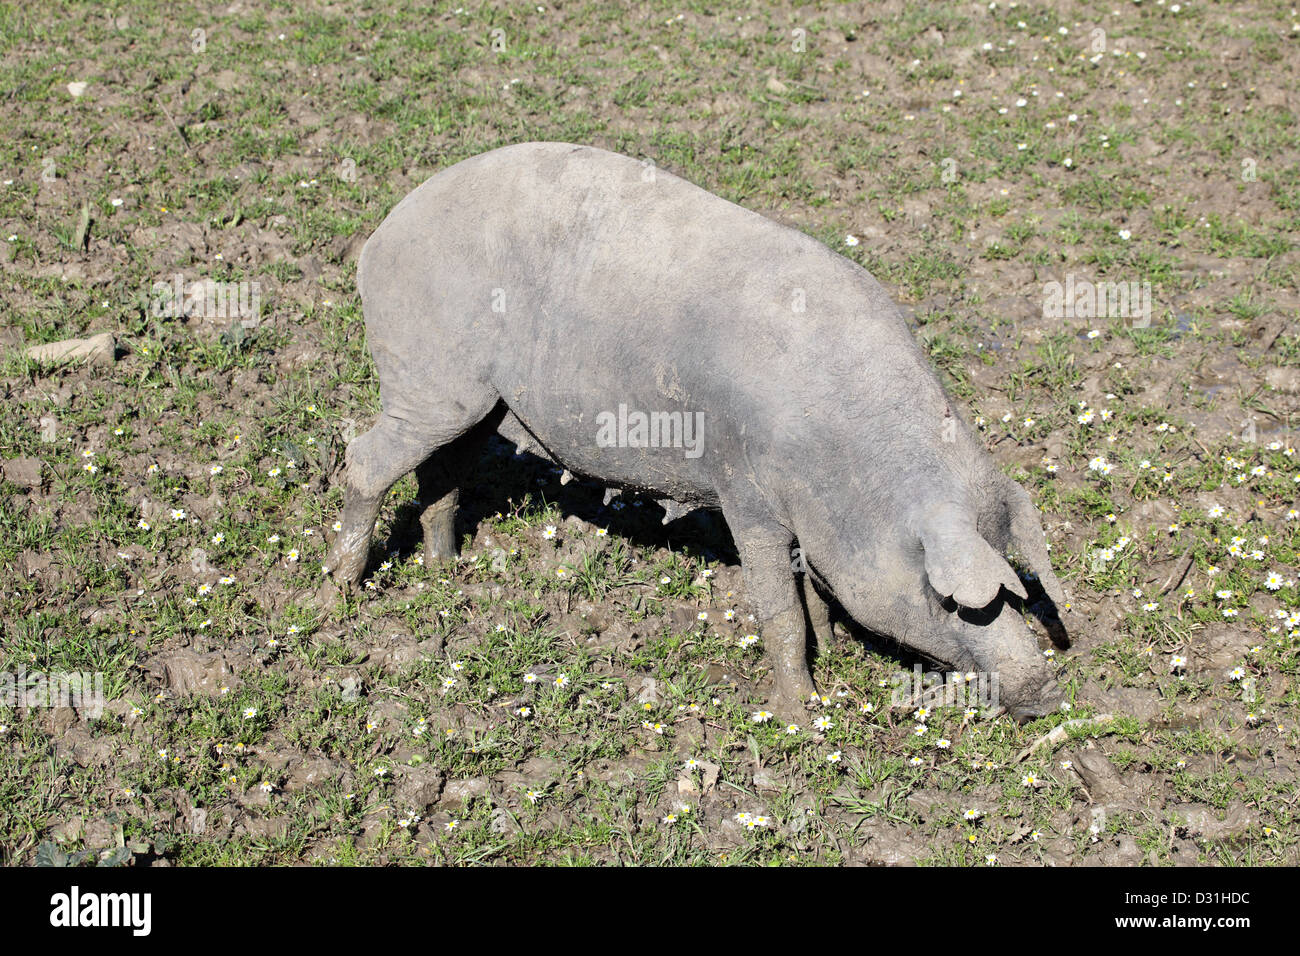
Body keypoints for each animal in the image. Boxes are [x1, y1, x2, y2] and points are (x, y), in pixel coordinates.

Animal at [322, 143, 1066, 717]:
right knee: (364, 459)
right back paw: (340, 591)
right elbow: (777, 608)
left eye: (1016, 592)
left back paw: (449, 571)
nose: (1046, 687)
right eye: (948, 600)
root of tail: (381, 236)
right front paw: (803, 714)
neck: (842, 473)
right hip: (426, 379)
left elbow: (810, 594)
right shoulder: (746, 495)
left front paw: (832, 653)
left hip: (481, 404)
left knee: (441, 471)